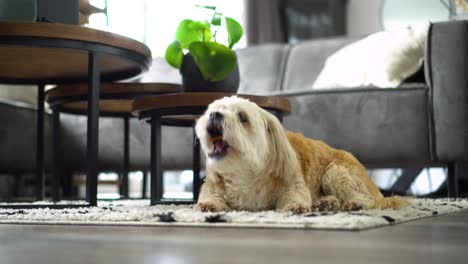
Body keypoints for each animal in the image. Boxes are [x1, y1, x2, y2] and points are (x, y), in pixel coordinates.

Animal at [194, 96, 410, 213]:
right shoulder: (212, 186)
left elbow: (294, 197)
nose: (214, 115)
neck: (245, 177)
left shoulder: (294, 184)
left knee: (369, 199)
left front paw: (295, 206)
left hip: (336, 173)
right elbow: (210, 197)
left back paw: (355, 203)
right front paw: (208, 205)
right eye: (212, 111)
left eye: (242, 117)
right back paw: (326, 203)